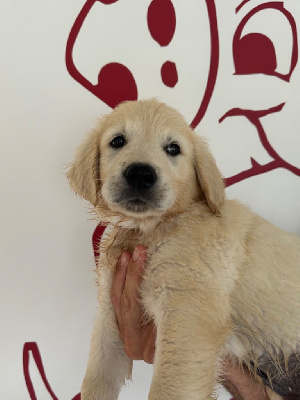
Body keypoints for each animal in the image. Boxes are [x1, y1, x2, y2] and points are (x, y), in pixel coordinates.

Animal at [67, 99, 300, 400]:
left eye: (173, 148)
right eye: (117, 141)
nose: (140, 174)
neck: (149, 229)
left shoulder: (187, 312)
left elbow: (169, 387)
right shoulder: (110, 312)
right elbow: (97, 377)